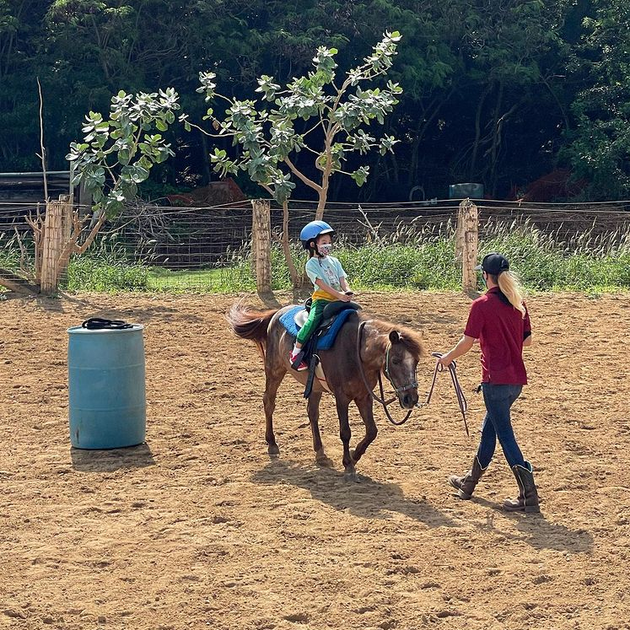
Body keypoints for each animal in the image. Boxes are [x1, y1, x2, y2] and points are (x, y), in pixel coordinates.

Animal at [225, 304, 428, 478]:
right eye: (395, 360)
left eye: (416, 361)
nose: (411, 398)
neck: (356, 350)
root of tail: (277, 312)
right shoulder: (342, 397)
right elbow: (345, 432)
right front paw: (348, 465)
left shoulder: (364, 396)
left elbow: (372, 431)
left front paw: (354, 455)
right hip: (274, 370)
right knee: (269, 402)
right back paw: (272, 444)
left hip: (314, 386)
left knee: (312, 412)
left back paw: (320, 454)